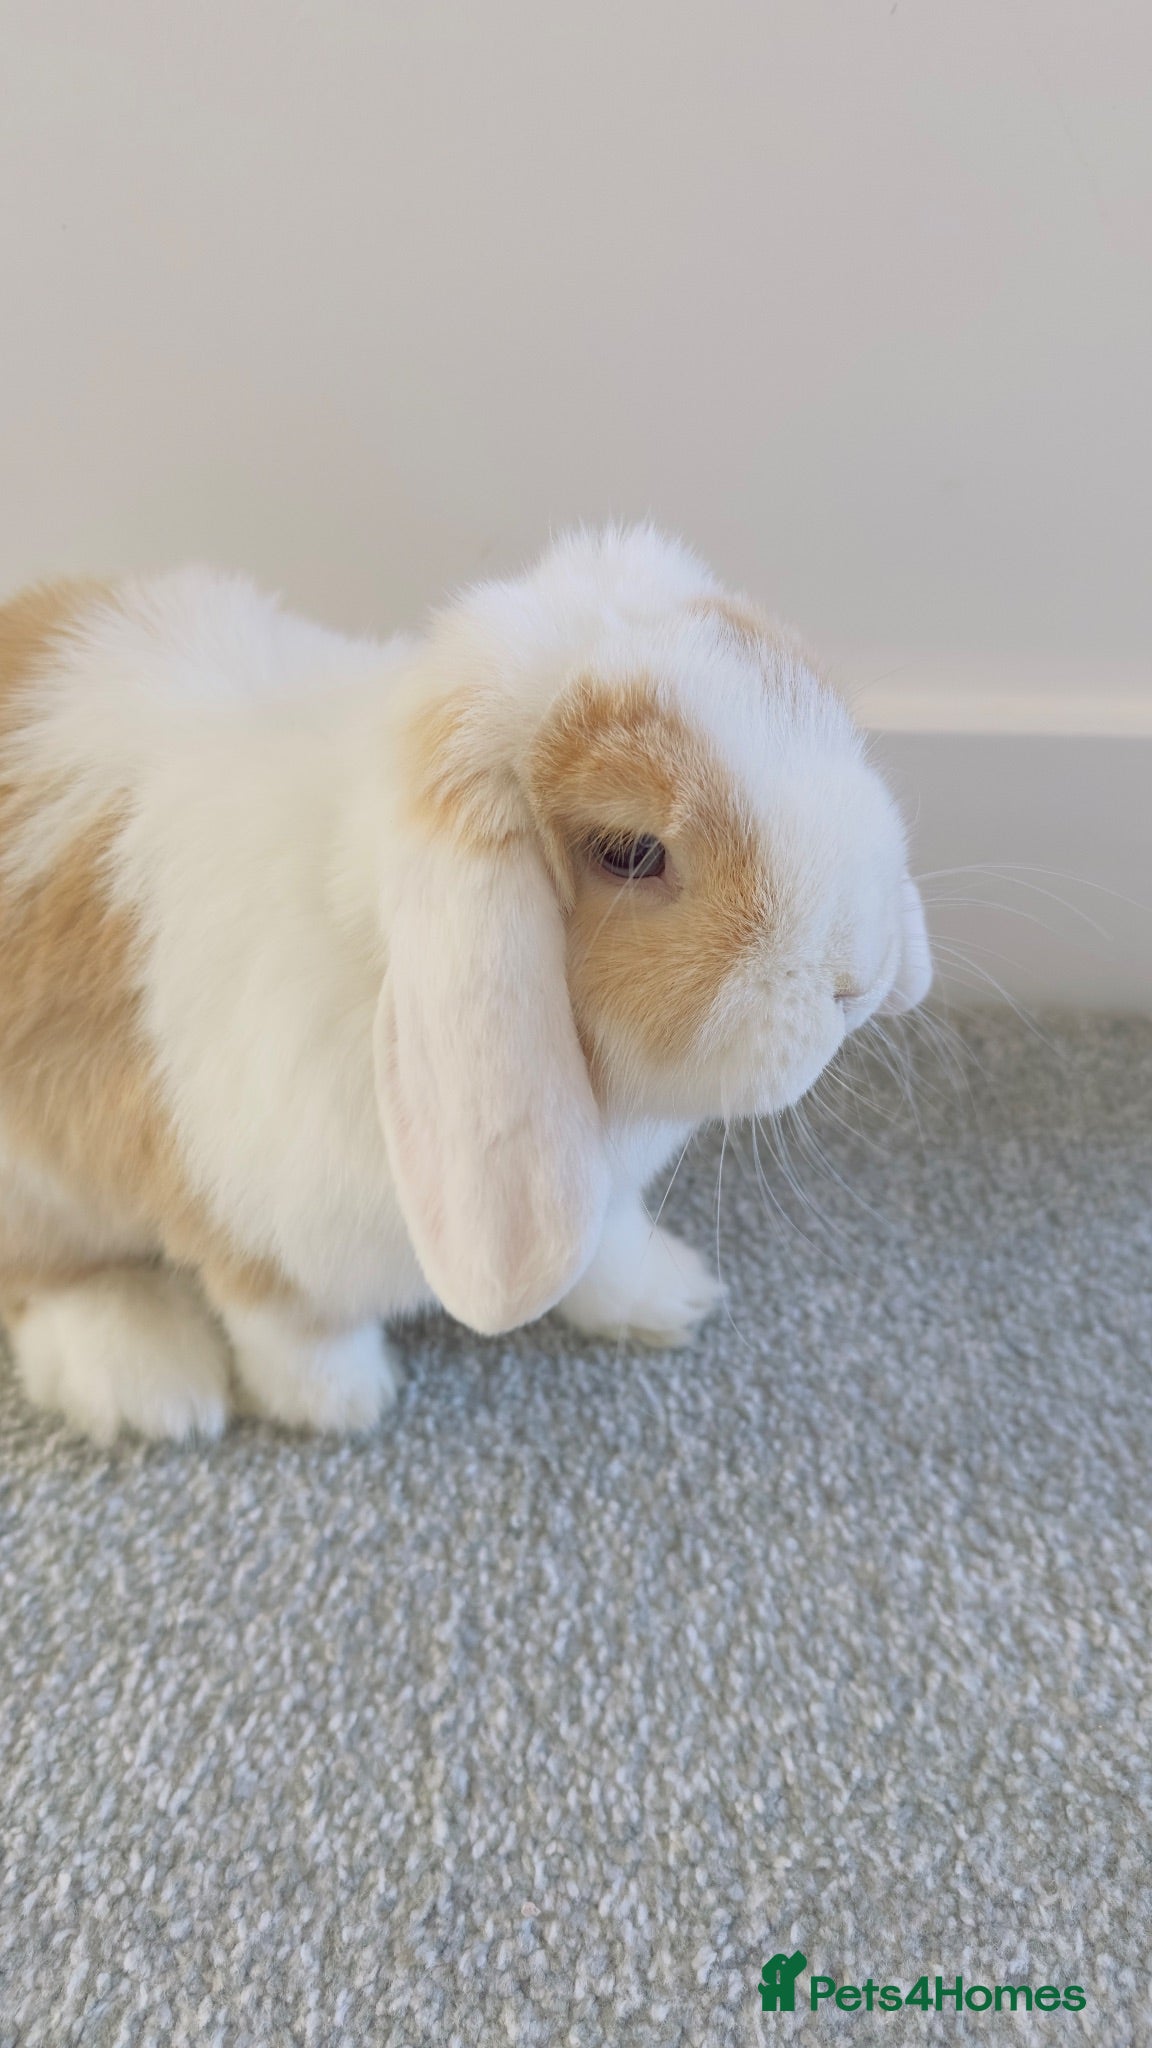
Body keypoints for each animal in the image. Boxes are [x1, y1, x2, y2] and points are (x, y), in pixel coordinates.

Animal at [0, 527, 931, 1444]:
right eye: (632, 853)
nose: (861, 976)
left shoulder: (594, 1199)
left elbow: (607, 1247)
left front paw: (671, 1297)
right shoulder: (263, 1225)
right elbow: (293, 1325)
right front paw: (345, 1405)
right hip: (40, 1183)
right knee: (51, 1278)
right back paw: (152, 1383)